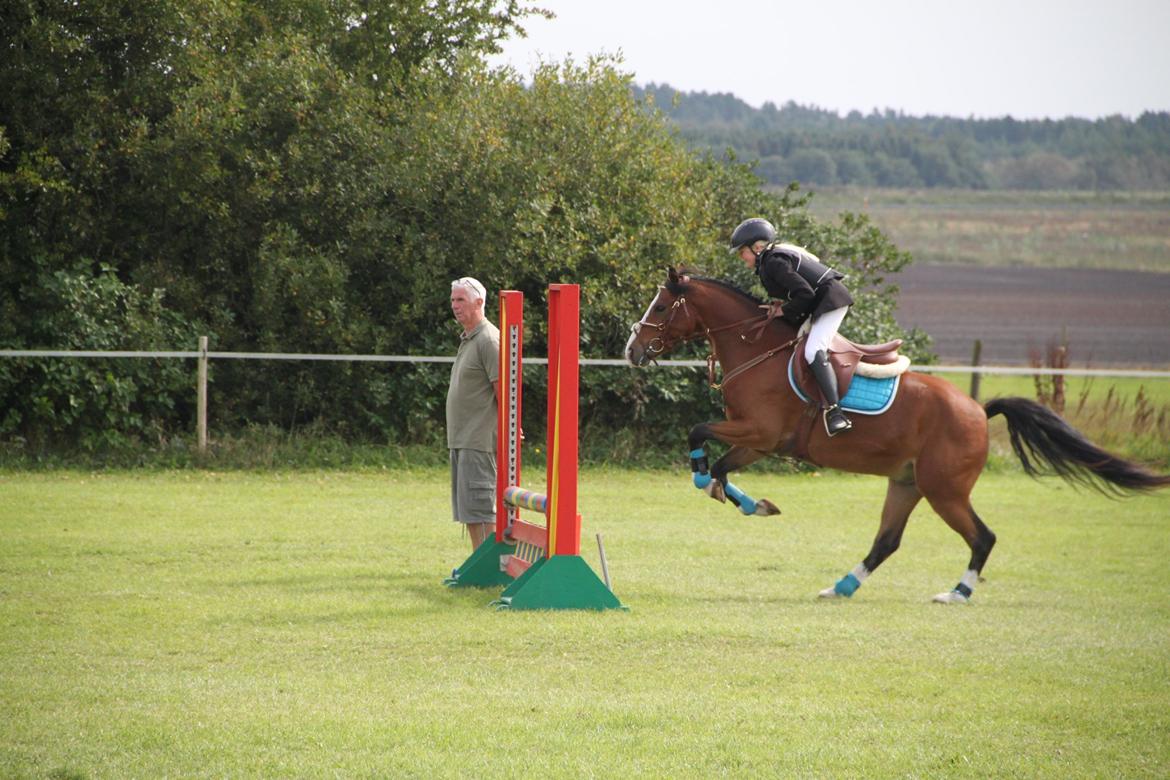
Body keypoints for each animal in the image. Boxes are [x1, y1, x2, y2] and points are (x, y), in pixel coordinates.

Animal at [631, 268, 1170, 603]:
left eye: (660, 306)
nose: (632, 349)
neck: (756, 348)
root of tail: (978, 410)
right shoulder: (759, 441)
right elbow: (721, 464)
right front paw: (752, 502)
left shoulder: (760, 432)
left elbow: (701, 438)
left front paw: (715, 486)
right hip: (906, 483)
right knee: (887, 541)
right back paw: (840, 587)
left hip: (944, 489)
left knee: (983, 536)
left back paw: (956, 593)